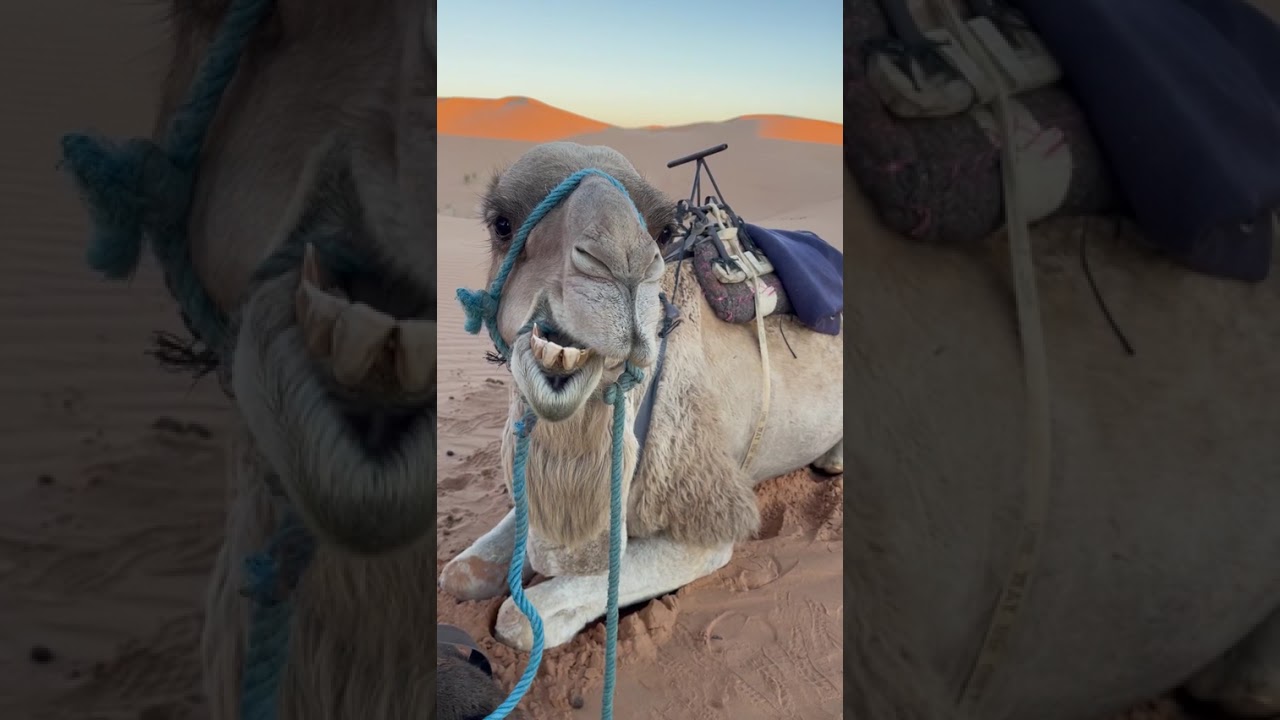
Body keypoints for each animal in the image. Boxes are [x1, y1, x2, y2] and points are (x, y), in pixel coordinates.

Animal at [436, 142, 845, 651]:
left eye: (664, 229)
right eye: (502, 223)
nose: (623, 265)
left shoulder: (702, 522)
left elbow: (519, 617)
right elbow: (458, 572)